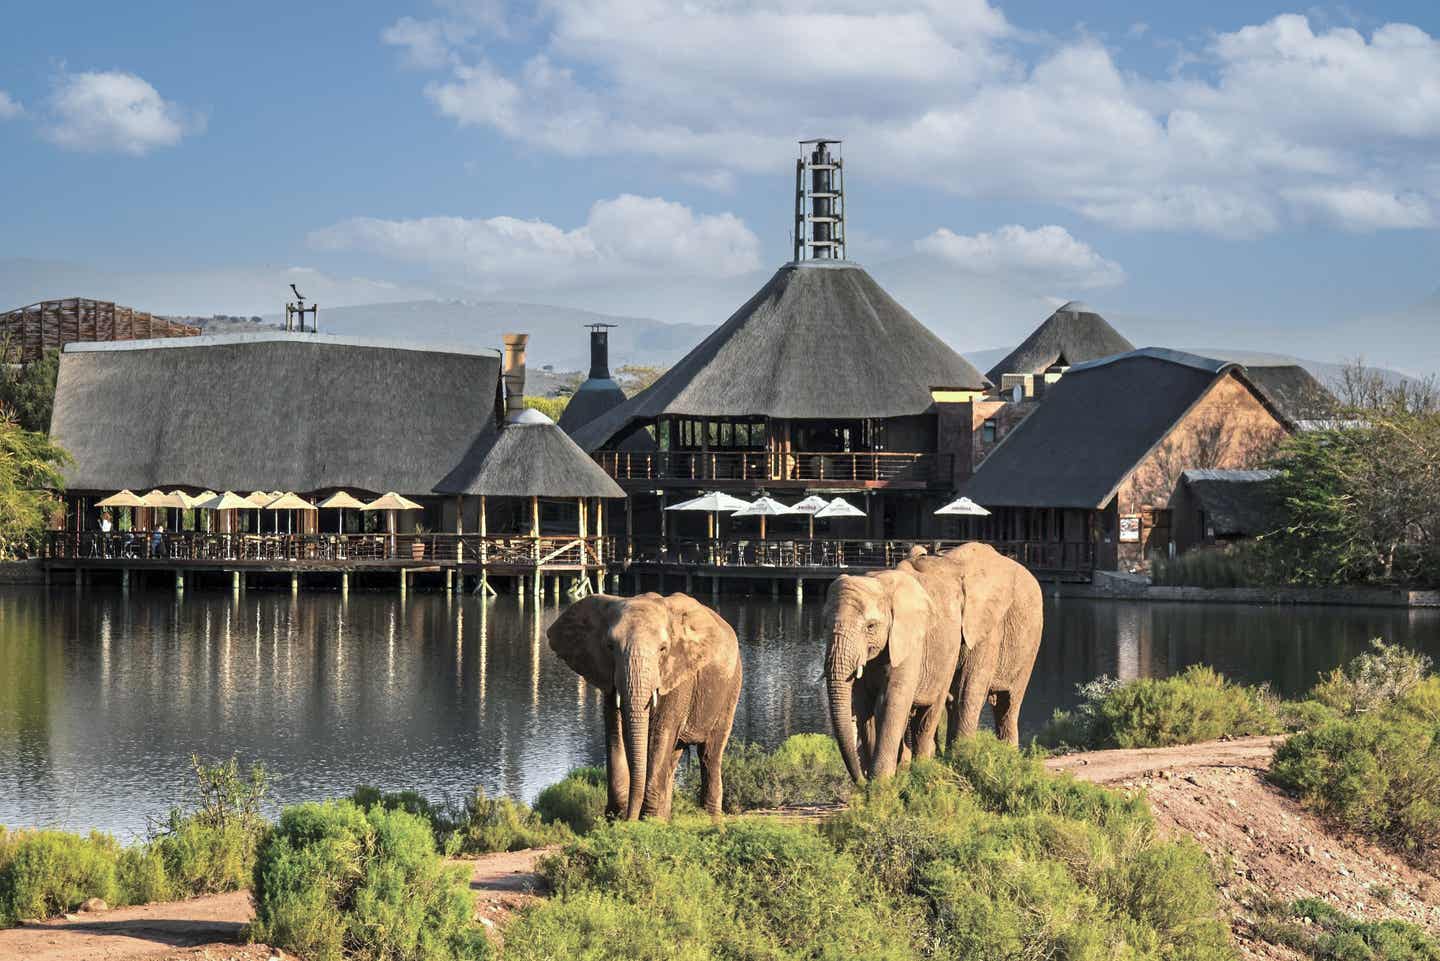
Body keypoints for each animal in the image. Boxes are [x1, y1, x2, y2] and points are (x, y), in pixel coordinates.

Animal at [547, 593, 743, 818]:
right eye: (610, 647)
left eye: (663, 649)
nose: (628, 820)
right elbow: (615, 731)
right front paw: (616, 817)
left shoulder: (678, 676)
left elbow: (661, 733)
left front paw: (648, 820)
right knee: (674, 757)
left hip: (732, 686)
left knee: (710, 753)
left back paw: (709, 818)